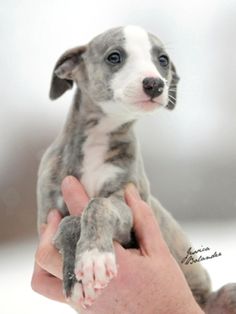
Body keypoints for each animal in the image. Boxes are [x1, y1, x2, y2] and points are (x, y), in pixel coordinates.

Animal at [37, 25, 212, 310]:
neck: (100, 136)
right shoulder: (47, 219)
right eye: (114, 57)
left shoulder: (128, 205)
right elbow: (65, 222)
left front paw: (93, 257)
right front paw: (77, 277)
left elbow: (95, 206)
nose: (155, 84)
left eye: (162, 60)